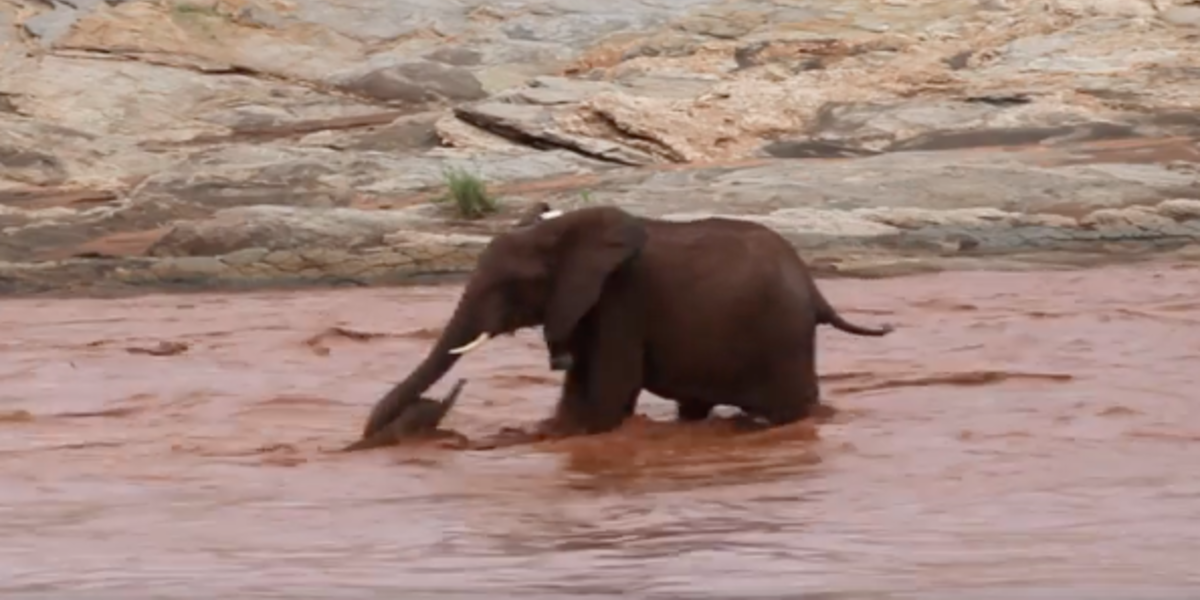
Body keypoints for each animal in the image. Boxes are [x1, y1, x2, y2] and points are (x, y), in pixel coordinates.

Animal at [356, 204, 894, 443]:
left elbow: (604, 398)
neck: (566, 227)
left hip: (781, 335)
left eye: (512, 283)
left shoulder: (623, 302)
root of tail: (817, 292)